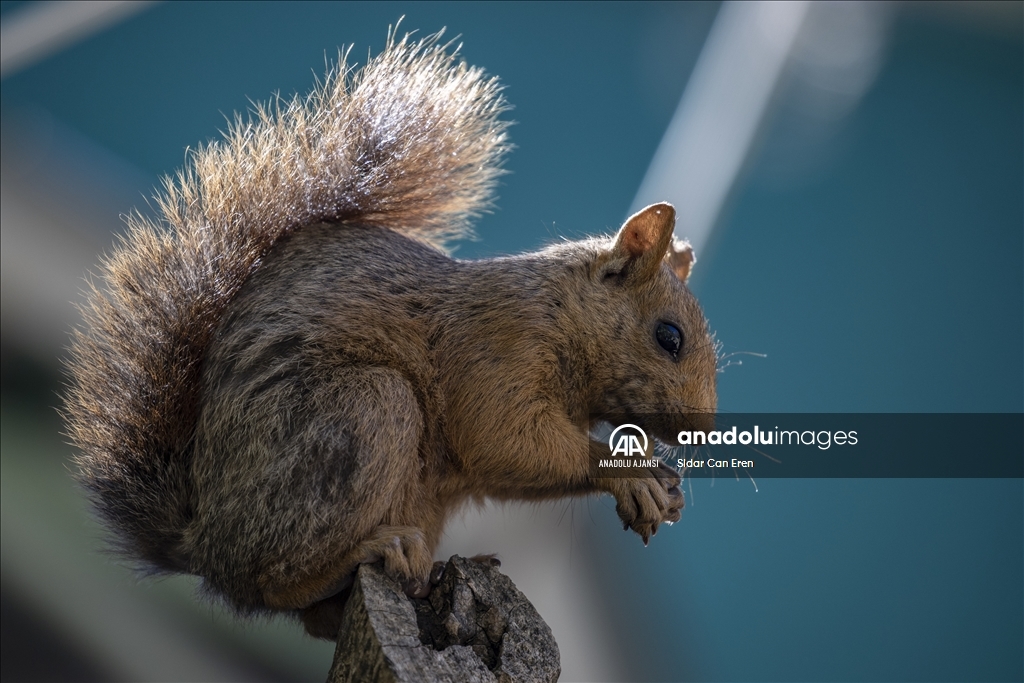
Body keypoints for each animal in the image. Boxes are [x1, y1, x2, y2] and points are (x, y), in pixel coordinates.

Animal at [64, 30, 720, 643]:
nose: (703, 429)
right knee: (273, 581)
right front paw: (631, 473)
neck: (560, 313)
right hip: (358, 415)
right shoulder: (496, 351)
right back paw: (368, 552)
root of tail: (200, 539)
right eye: (668, 336)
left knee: (315, 620)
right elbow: (505, 441)